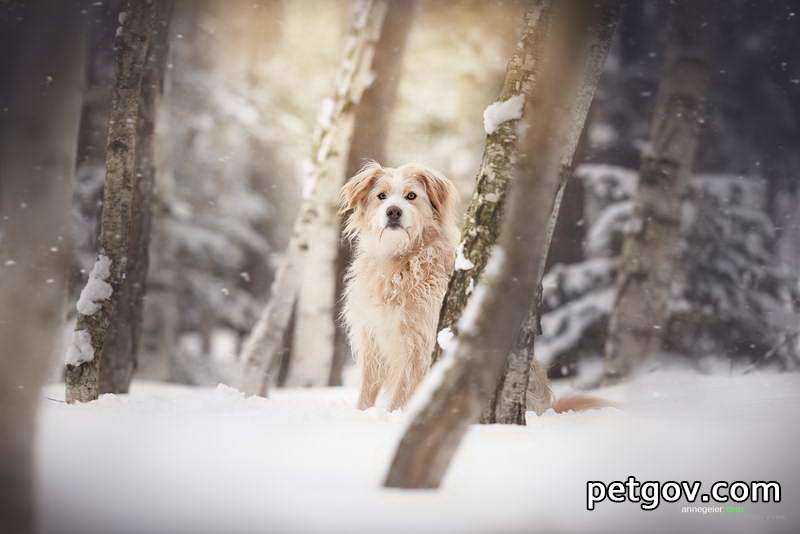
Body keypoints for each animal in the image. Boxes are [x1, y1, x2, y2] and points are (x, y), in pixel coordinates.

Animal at [338, 161, 460, 412]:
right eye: (381, 196)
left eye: (411, 195)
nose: (393, 211)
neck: (398, 263)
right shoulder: (372, 338)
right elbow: (367, 388)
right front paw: (362, 413)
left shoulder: (419, 344)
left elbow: (402, 392)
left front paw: (394, 415)